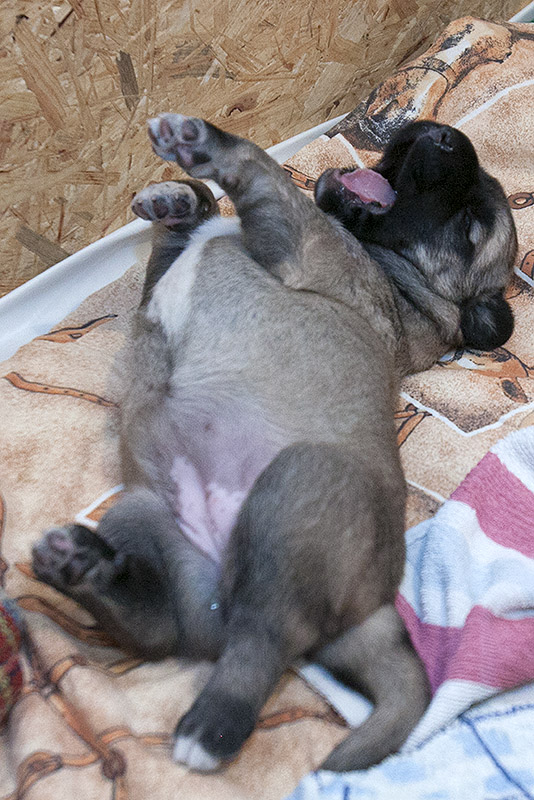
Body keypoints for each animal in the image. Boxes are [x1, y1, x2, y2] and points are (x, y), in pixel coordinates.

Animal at [32, 117, 517, 773]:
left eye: (471, 224)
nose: (443, 134)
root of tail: (372, 611)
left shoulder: (296, 237)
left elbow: (260, 170)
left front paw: (202, 146)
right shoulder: (168, 280)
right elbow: (190, 226)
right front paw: (175, 200)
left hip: (295, 492)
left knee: (263, 638)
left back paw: (211, 727)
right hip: (144, 514)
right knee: (162, 630)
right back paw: (81, 566)